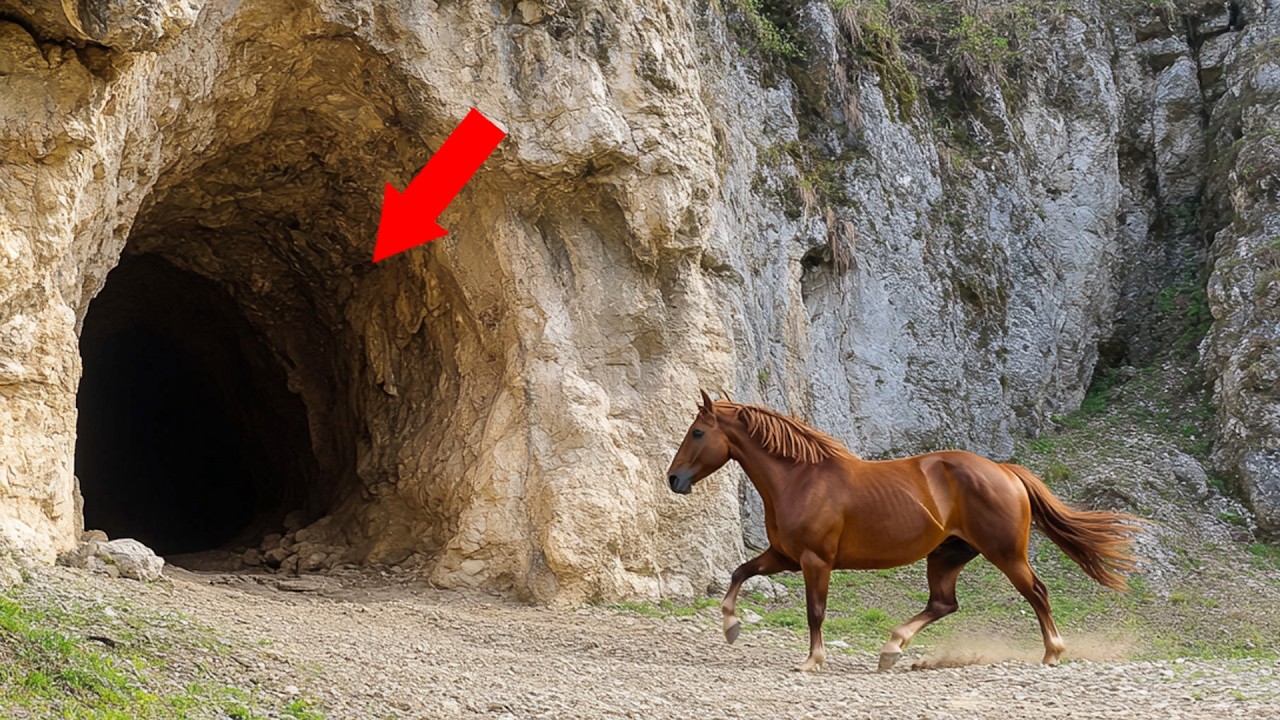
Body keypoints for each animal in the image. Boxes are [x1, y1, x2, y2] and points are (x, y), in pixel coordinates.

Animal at [665, 391, 1142, 672]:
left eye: (698, 432)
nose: (673, 479)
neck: (801, 479)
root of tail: (1006, 471)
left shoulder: (815, 561)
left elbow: (815, 612)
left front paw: (812, 661)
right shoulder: (784, 556)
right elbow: (740, 572)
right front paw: (731, 626)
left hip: (1004, 553)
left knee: (1036, 592)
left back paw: (1052, 652)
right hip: (947, 555)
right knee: (944, 603)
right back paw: (892, 648)